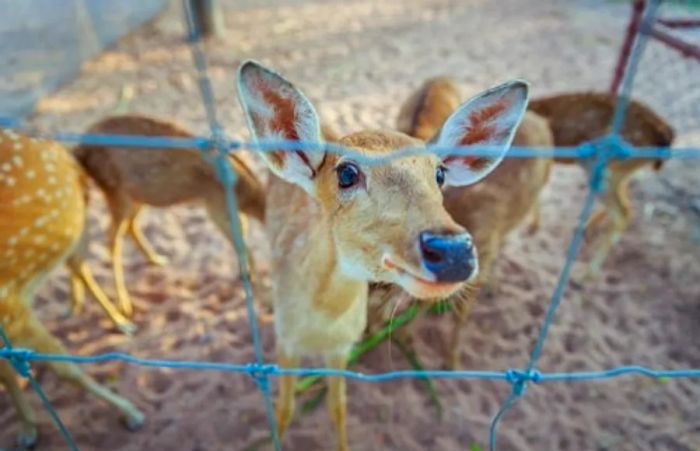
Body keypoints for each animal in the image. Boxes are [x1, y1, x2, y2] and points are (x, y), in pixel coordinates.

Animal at [0, 127, 144, 448]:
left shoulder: (9, 304)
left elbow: (64, 367)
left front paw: (131, 412)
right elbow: (6, 371)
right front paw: (27, 429)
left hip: (82, 205)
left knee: (81, 260)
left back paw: (121, 321)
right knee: (77, 263)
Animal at [69, 114, 266, 324]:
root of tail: (80, 147)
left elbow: (243, 244)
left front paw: (244, 275)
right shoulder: (218, 208)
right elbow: (245, 247)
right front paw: (262, 295)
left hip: (136, 195)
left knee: (123, 228)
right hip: (116, 192)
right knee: (109, 242)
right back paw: (122, 309)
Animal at [237, 61, 532, 451]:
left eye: (439, 173)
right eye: (347, 173)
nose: (453, 251)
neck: (320, 324)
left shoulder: (343, 347)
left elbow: (338, 409)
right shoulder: (285, 341)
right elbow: (283, 410)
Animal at [532, 92, 672, 278]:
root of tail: (664, 135)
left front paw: (532, 226)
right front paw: (534, 226)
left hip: (603, 164)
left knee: (622, 213)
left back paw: (587, 273)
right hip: (618, 169)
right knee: (625, 200)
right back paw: (587, 228)